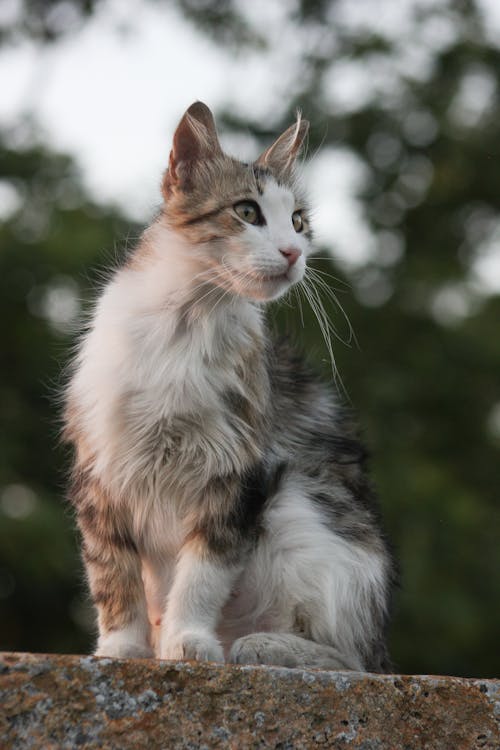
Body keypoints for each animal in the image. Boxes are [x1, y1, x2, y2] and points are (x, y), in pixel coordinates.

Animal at [64, 101, 396, 676]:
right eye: (247, 212)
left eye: (299, 221)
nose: (293, 252)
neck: (186, 322)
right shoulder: (100, 466)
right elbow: (112, 573)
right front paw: (122, 648)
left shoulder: (238, 472)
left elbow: (203, 573)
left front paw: (188, 641)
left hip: (301, 502)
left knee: (351, 659)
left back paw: (260, 645)